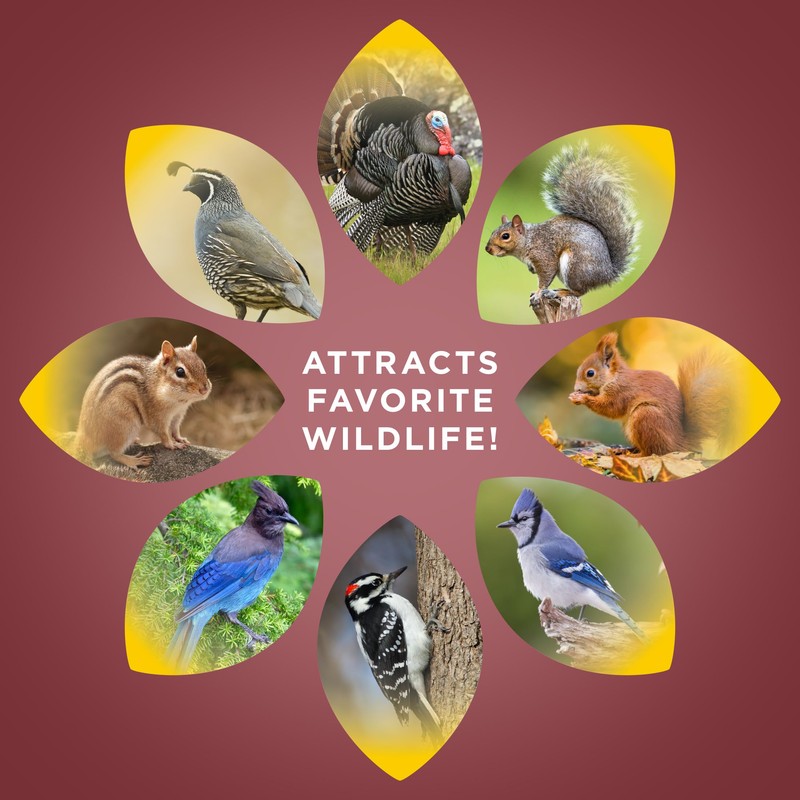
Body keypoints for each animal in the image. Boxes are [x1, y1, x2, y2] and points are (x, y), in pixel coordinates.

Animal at [74, 336, 212, 469]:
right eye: (180, 372)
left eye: (203, 366)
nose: (204, 389)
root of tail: (84, 440)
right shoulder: (156, 416)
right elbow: (163, 433)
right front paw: (173, 444)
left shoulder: (178, 414)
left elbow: (175, 429)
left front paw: (180, 439)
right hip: (125, 424)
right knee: (114, 453)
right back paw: (134, 460)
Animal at [485, 143, 639, 300]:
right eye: (493, 232)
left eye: (505, 236)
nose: (487, 249)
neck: (529, 240)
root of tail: (607, 274)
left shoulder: (544, 255)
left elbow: (546, 275)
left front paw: (538, 292)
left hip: (574, 267)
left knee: (580, 291)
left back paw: (560, 292)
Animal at [568, 332, 730, 457]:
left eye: (590, 373)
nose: (576, 388)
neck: (614, 377)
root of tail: (678, 443)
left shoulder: (622, 391)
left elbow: (610, 408)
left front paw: (582, 398)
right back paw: (625, 450)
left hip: (645, 416)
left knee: (653, 452)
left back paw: (635, 455)